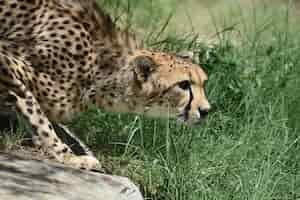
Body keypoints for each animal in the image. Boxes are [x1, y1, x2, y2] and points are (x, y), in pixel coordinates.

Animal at [0, 0, 211, 170]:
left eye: (203, 82)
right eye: (184, 85)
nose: (206, 110)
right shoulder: (7, 61)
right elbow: (39, 117)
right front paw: (68, 157)